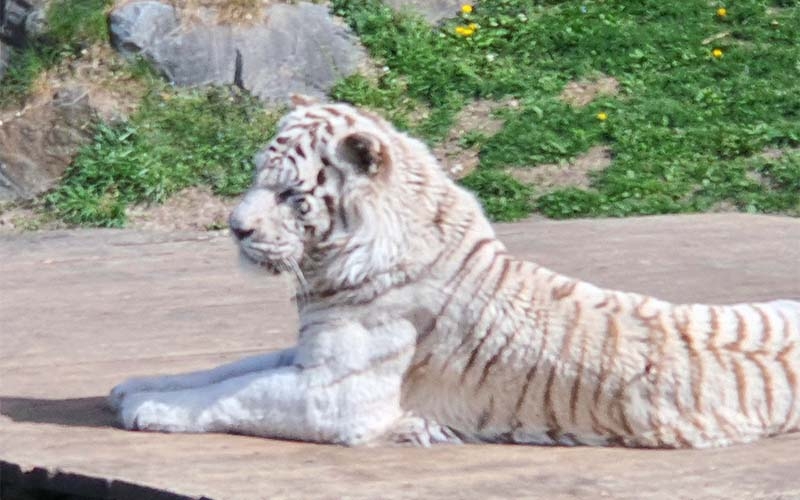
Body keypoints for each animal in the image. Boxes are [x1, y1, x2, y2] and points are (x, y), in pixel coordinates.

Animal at [109, 94, 800, 448]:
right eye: (257, 176)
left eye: (289, 194)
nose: (235, 228)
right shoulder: (310, 354)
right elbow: (229, 369)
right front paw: (135, 385)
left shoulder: (340, 395)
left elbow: (234, 394)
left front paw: (146, 408)